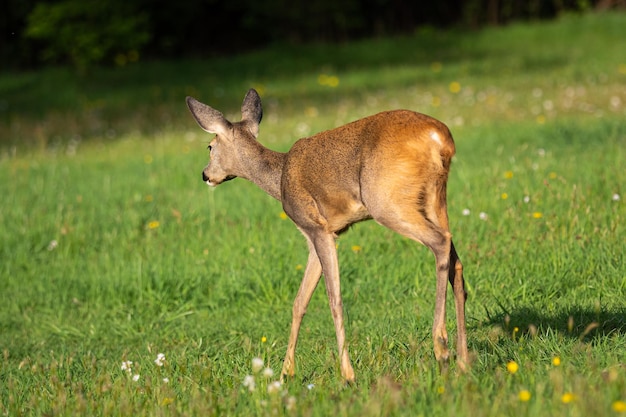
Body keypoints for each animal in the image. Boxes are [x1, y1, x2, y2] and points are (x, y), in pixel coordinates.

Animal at [185, 89, 468, 382]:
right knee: (455, 259)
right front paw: (286, 372)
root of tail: (440, 138)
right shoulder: (322, 234)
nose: (205, 175)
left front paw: (348, 374)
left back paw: (441, 347)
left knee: (440, 243)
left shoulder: (316, 227)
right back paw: (463, 361)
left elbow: (334, 299)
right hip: (434, 199)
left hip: (387, 202)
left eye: (210, 146)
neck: (279, 177)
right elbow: (299, 301)